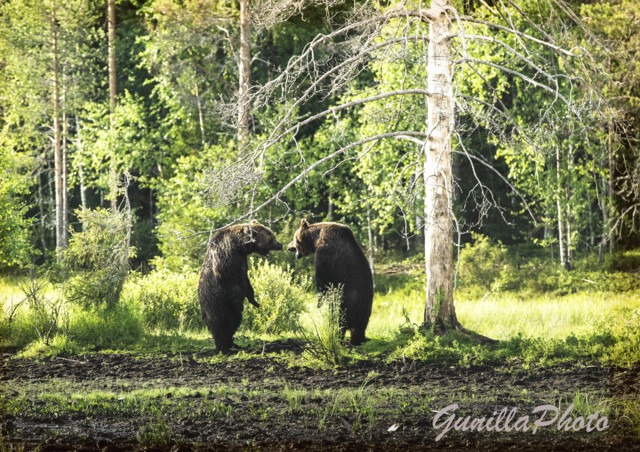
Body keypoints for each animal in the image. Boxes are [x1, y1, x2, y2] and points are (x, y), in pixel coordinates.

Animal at [198, 219, 282, 354]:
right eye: (271, 239)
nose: (280, 245)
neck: (238, 247)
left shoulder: (242, 262)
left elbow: (246, 281)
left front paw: (255, 301)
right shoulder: (225, 260)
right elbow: (231, 283)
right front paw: (240, 303)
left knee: (234, 322)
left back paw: (232, 343)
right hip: (214, 303)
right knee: (219, 323)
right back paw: (222, 347)